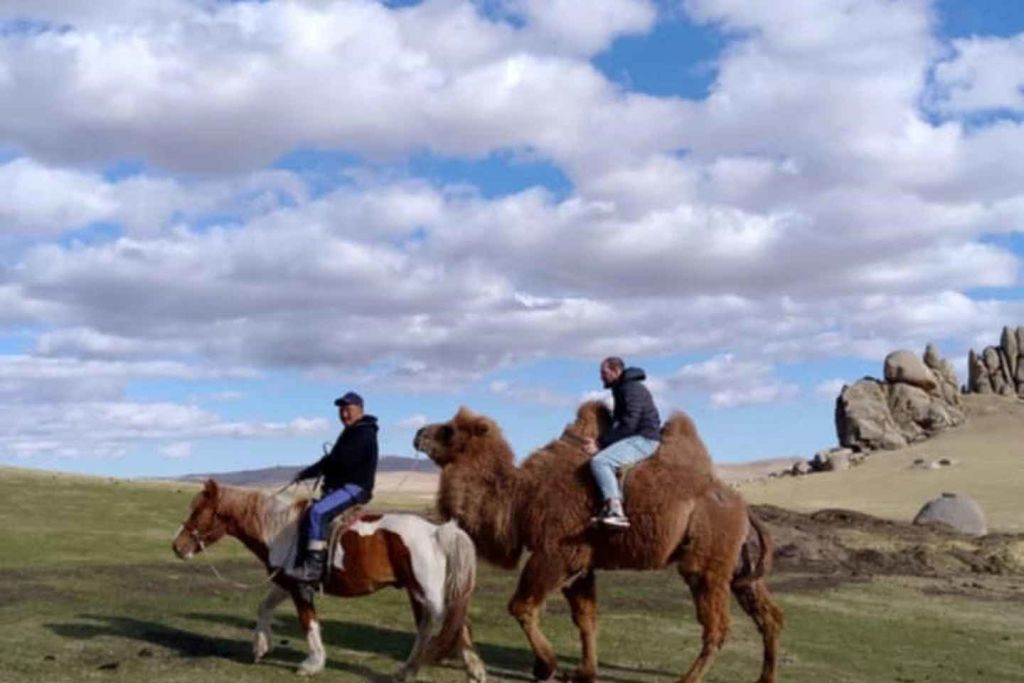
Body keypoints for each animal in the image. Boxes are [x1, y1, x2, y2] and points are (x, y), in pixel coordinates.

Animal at [171, 479, 486, 681]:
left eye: (198, 512)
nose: (177, 546)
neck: (281, 531)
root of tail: (438, 532)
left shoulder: (300, 587)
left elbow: (308, 622)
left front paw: (312, 664)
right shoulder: (285, 583)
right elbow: (264, 607)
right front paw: (260, 647)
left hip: (426, 593)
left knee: (437, 627)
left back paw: (413, 671)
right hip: (422, 592)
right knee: (452, 625)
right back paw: (465, 670)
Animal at [414, 400, 783, 683]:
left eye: (449, 430)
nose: (418, 434)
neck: (521, 498)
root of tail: (742, 508)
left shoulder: (556, 552)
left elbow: (522, 606)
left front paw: (546, 666)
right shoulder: (580, 565)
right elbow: (586, 619)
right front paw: (582, 672)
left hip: (706, 562)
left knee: (716, 627)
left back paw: (687, 680)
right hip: (739, 566)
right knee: (769, 616)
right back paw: (765, 677)